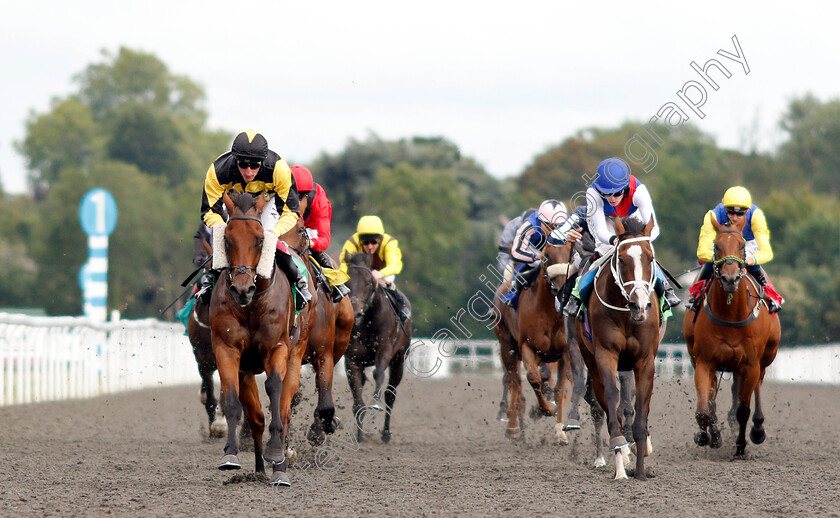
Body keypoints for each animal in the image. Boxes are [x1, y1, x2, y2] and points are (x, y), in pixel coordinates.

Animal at [212, 191, 314, 488]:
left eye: (259, 239)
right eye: (227, 239)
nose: (242, 289)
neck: (253, 305)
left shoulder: (277, 348)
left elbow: (275, 392)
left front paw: (277, 455)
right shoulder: (227, 349)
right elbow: (232, 399)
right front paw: (230, 455)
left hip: (297, 352)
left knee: (285, 408)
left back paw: (279, 467)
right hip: (247, 368)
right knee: (256, 417)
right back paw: (258, 469)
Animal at [342, 254, 412, 444]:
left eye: (368, 282)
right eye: (347, 282)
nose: (356, 312)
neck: (367, 323)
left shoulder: (385, 350)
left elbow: (378, 373)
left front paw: (375, 401)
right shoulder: (352, 359)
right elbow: (358, 399)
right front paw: (360, 435)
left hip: (399, 361)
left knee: (390, 395)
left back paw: (386, 434)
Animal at [492, 242, 584, 444]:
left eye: (572, 253)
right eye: (547, 255)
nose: (562, 288)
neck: (549, 312)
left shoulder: (564, 351)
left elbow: (560, 389)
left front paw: (560, 430)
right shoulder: (527, 346)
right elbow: (533, 379)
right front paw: (547, 409)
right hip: (506, 345)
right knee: (514, 383)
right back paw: (513, 426)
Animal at [576, 217, 668, 482]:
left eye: (650, 258)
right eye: (622, 259)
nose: (640, 305)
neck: (627, 316)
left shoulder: (645, 360)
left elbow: (640, 410)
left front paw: (640, 470)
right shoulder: (606, 354)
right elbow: (610, 397)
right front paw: (620, 463)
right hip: (591, 359)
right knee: (606, 403)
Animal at [684, 215, 780, 460]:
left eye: (742, 246)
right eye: (716, 246)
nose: (729, 278)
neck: (730, 314)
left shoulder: (751, 364)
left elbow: (743, 410)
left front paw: (740, 447)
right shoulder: (704, 361)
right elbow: (704, 408)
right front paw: (707, 436)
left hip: (765, 358)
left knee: (756, 389)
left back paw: (757, 429)